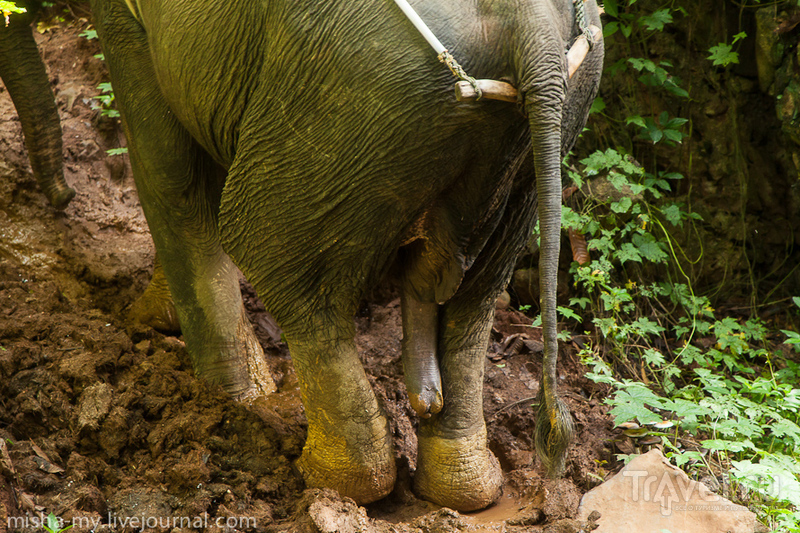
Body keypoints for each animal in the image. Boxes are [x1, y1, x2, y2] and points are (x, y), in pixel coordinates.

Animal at [90, 0, 604, 512]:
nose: (425, 397)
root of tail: (533, 33)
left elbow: (171, 172)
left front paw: (216, 384)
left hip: (350, 110)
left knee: (274, 257)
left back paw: (328, 481)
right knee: (473, 301)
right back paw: (461, 486)